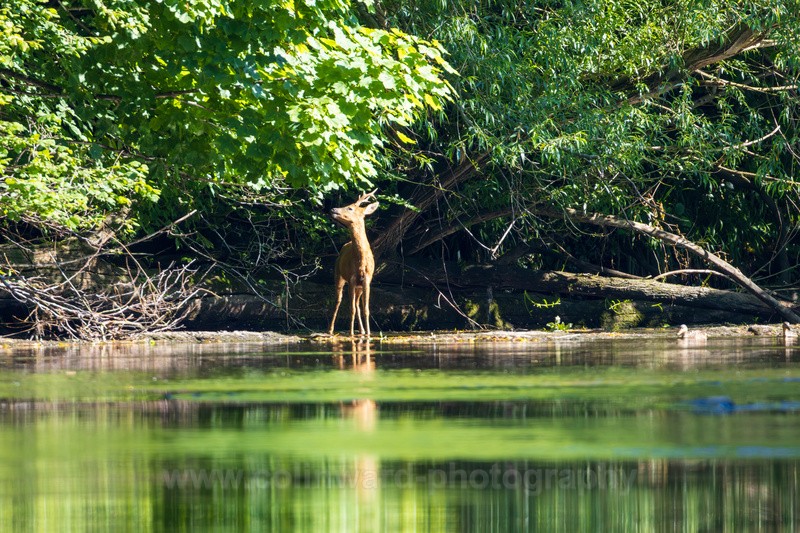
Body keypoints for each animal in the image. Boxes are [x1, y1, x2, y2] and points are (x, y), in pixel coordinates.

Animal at [328, 190, 379, 337]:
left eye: (350, 208)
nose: (333, 209)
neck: (361, 263)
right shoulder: (351, 279)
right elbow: (351, 309)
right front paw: (351, 333)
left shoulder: (366, 280)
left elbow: (366, 309)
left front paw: (368, 333)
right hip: (338, 275)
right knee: (338, 301)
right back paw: (330, 329)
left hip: (359, 286)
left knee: (357, 304)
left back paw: (362, 331)